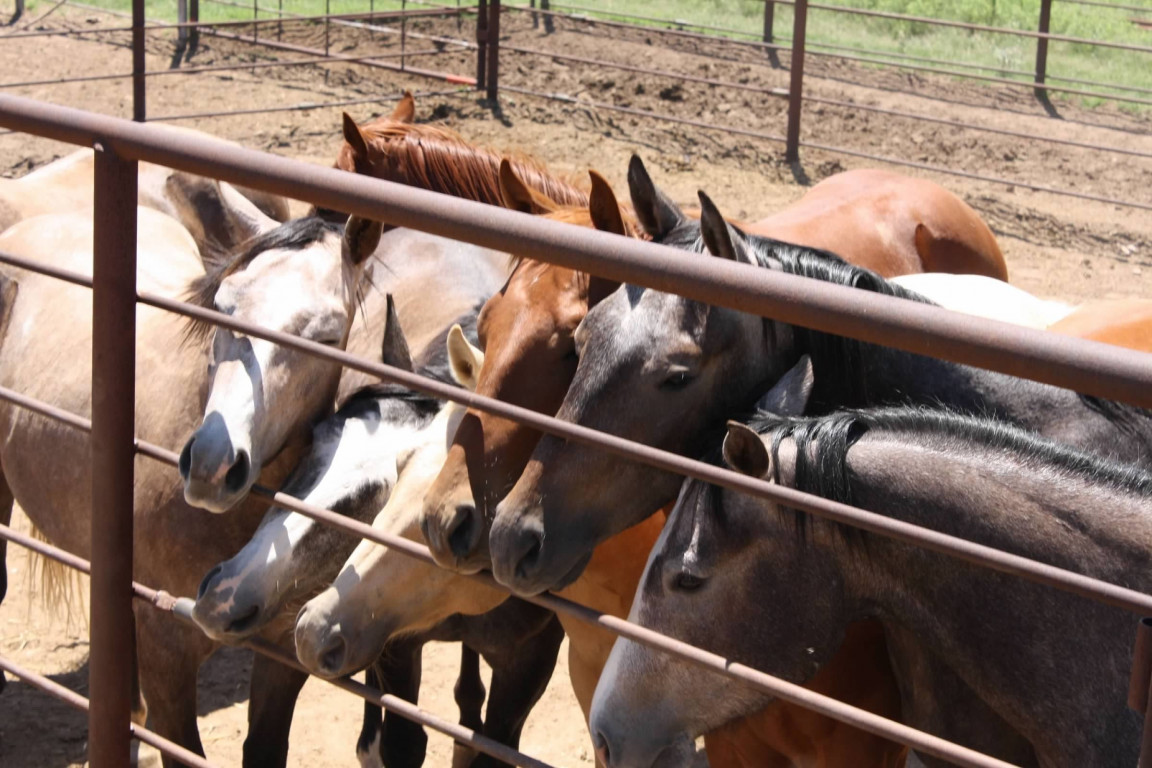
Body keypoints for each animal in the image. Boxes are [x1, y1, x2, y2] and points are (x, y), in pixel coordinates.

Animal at [193, 306, 563, 768]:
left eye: (383, 490)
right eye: (317, 438)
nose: (224, 596)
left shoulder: (531, 662)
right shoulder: (394, 644)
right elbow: (402, 744)